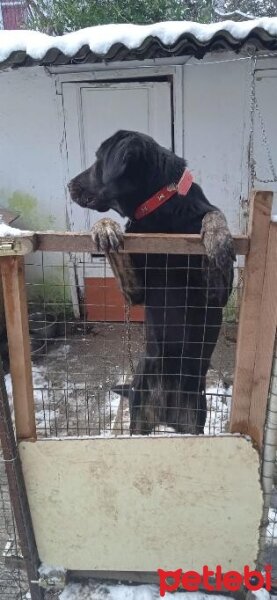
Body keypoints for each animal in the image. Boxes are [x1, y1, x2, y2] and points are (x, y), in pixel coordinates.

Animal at [68, 129, 234, 434]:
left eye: (98, 160)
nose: (69, 186)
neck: (161, 209)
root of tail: (166, 412)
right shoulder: (134, 291)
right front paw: (104, 227)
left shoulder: (218, 294)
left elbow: (212, 213)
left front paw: (218, 237)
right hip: (140, 408)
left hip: (195, 417)